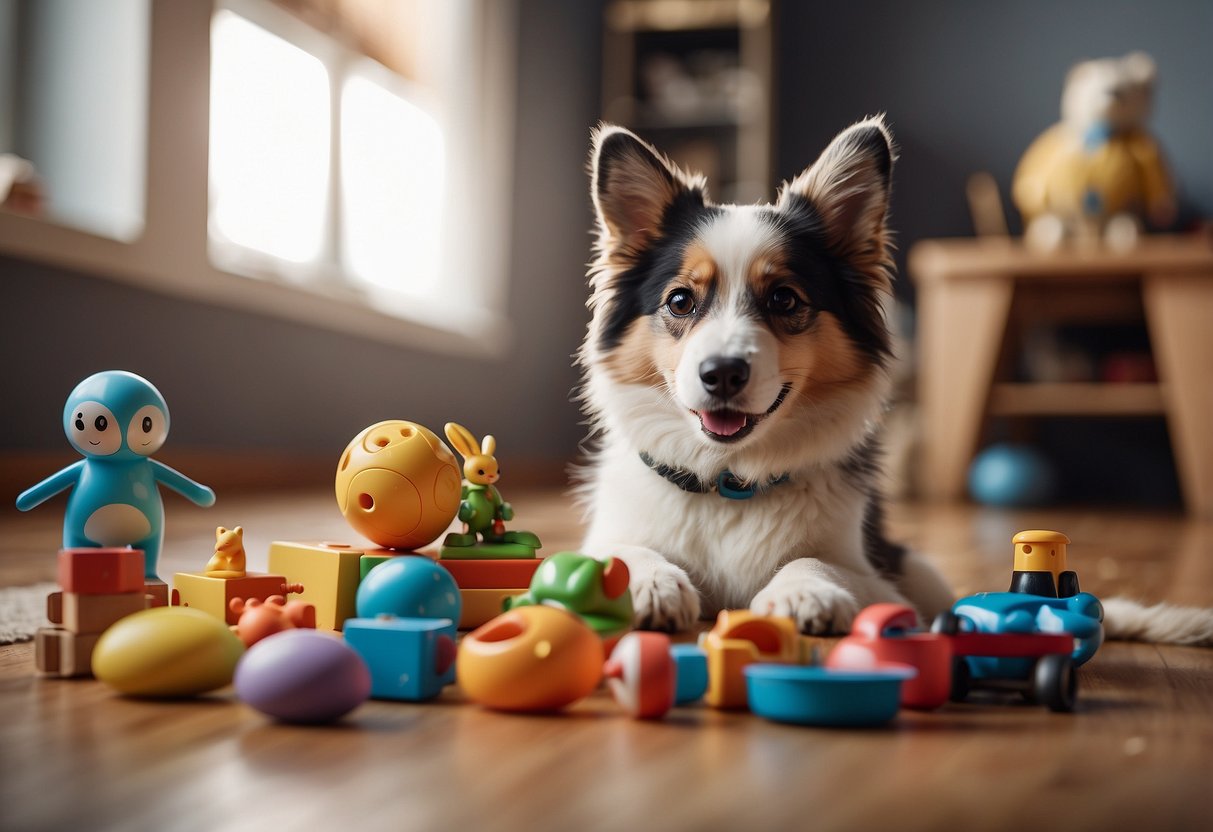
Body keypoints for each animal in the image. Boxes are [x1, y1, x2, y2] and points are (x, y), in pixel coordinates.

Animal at [570, 117, 955, 635]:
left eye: (784, 299)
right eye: (680, 301)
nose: (722, 374)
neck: (727, 480)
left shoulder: (875, 580)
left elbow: (817, 561)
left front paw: (805, 590)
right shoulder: (604, 537)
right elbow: (619, 552)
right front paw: (648, 582)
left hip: (920, 571)